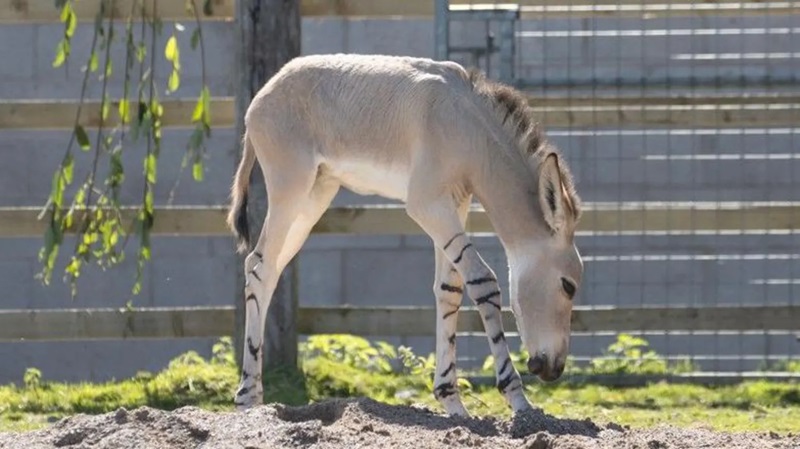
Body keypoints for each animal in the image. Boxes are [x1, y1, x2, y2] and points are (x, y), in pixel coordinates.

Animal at [225, 54, 580, 414]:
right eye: (568, 286)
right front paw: (519, 400)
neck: (465, 123)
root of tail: (264, 94)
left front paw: (452, 402)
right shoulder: (427, 205)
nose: (554, 370)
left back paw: (252, 396)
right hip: (290, 191)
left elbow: (449, 288)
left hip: (313, 198)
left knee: (262, 267)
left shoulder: (455, 203)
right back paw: (248, 398)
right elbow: (482, 281)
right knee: (261, 270)